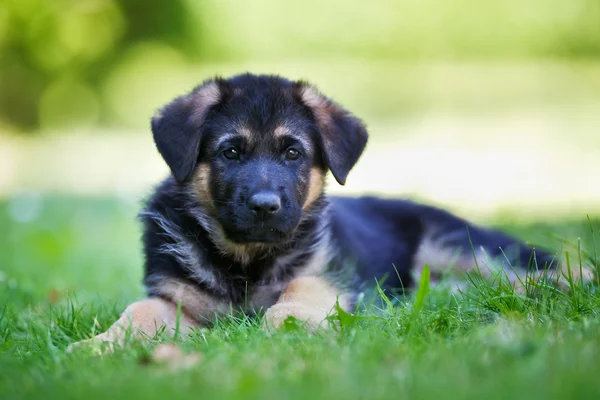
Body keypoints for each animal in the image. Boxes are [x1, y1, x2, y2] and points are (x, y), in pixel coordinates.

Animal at [68, 73, 584, 348]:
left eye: (293, 153)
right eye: (230, 152)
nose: (265, 206)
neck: (245, 260)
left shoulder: (329, 274)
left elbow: (297, 293)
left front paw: (283, 328)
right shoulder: (174, 298)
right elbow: (138, 312)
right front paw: (99, 345)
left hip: (457, 246)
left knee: (538, 268)